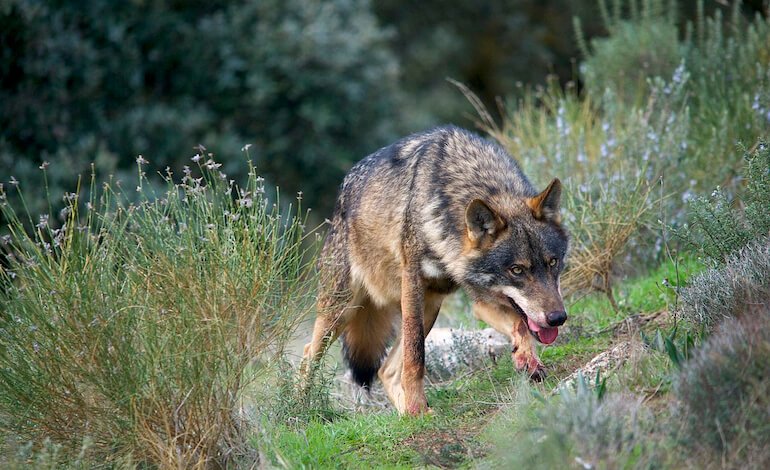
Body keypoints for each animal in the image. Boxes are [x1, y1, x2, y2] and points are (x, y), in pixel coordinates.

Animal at [301, 126, 569, 415]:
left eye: (553, 262)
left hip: (429, 308)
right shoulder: (413, 284)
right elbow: (415, 356)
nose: (558, 318)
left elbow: (520, 324)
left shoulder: (481, 298)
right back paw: (301, 408)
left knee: (386, 370)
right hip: (343, 311)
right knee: (308, 355)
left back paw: (408, 415)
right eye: (517, 270)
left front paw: (527, 359)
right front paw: (417, 405)